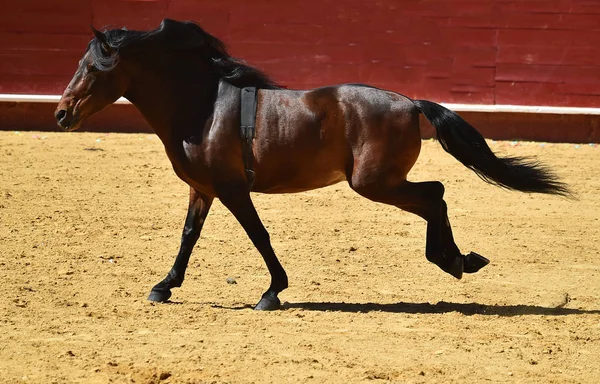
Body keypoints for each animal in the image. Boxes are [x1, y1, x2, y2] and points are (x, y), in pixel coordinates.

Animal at [54, 19, 568, 310]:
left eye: (94, 68)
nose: (62, 114)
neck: (201, 108)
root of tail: (410, 102)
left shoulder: (232, 189)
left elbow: (258, 235)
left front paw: (272, 291)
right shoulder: (202, 189)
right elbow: (188, 237)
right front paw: (164, 287)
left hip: (374, 182)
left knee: (434, 194)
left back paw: (455, 261)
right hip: (379, 182)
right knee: (435, 195)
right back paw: (459, 260)